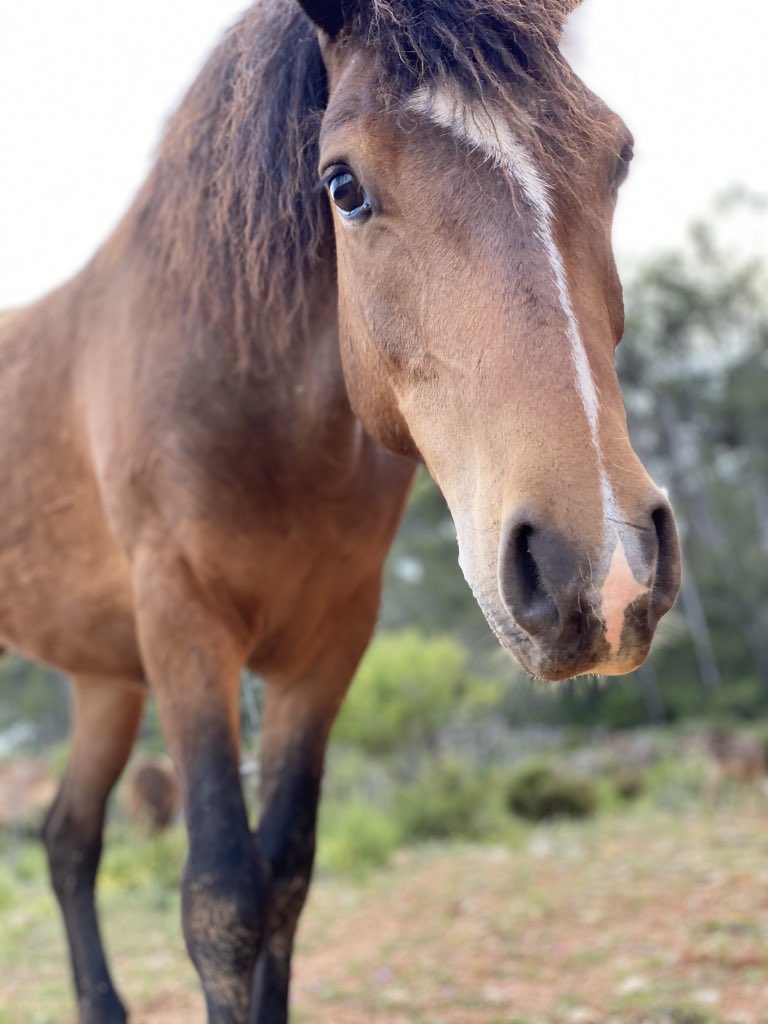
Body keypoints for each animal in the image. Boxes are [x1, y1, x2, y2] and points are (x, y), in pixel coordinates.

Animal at [0, 0, 681, 1020]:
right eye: (343, 186)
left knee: (68, 840)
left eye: (620, 156)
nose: (600, 571)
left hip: (104, 682)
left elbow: (284, 884)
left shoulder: (324, 649)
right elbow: (222, 903)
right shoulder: (184, 629)